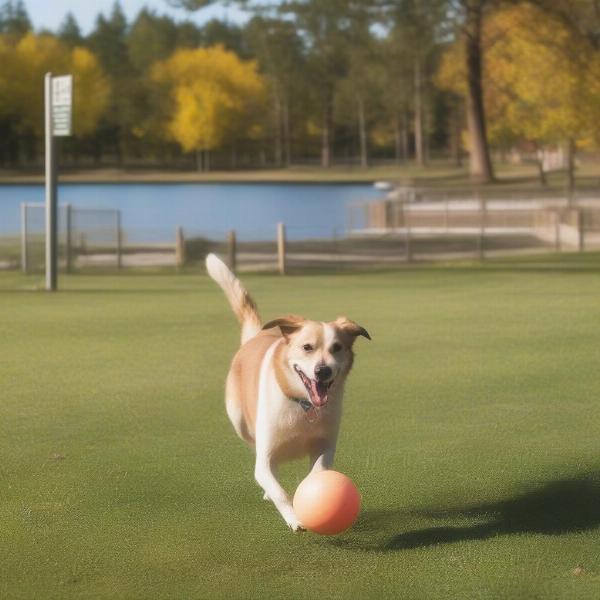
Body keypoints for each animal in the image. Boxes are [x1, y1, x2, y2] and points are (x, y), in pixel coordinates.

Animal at [206, 253, 370, 528]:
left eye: (337, 348)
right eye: (307, 347)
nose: (323, 371)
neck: (304, 405)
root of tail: (253, 338)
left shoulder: (325, 446)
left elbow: (317, 472)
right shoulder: (264, 458)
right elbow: (278, 490)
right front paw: (294, 518)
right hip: (240, 421)